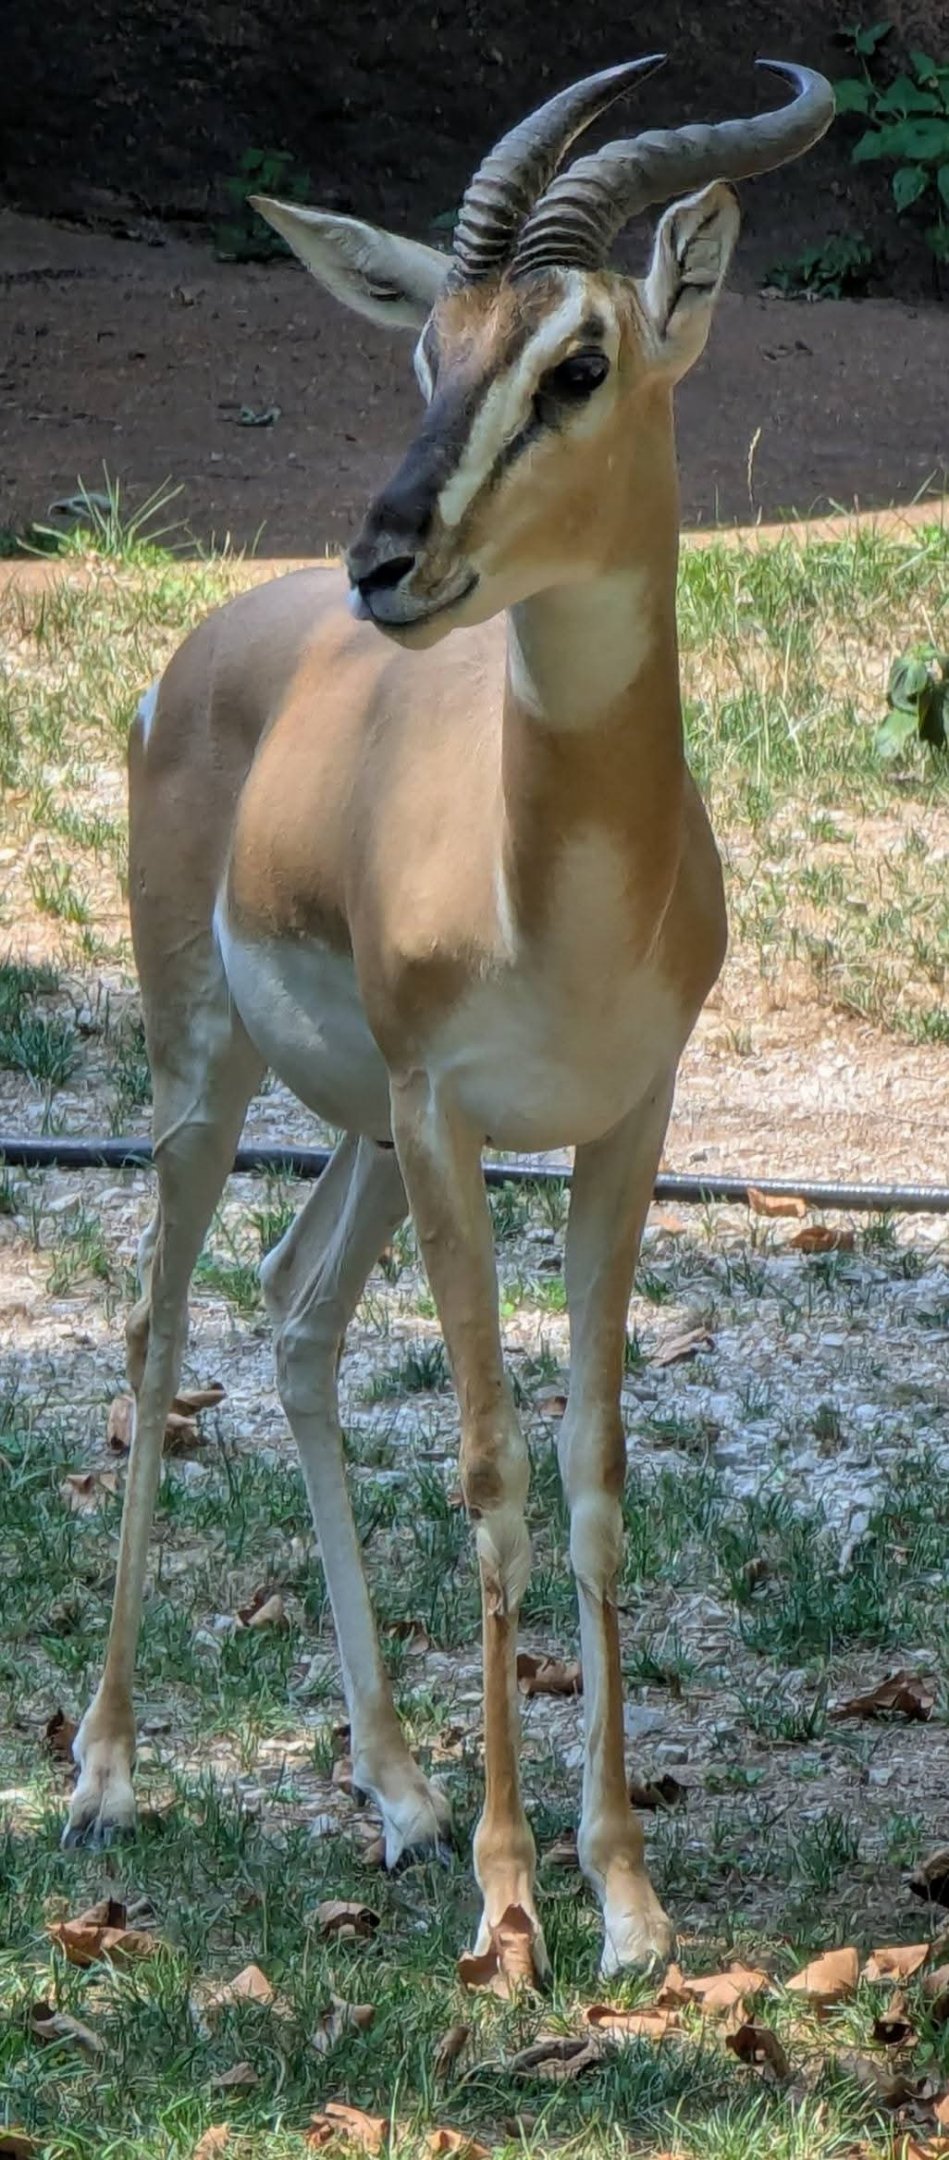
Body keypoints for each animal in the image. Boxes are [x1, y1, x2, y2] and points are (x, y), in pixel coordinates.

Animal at [64, 57, 833, 1984]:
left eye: (576, 362)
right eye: (429, 350)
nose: (385, 559)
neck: (550, 874)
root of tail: (210, 642)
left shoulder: (622, 1125)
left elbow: (590, 1465)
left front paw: (622, 1889)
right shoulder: (452, 1121)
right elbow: (486, 1470)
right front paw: (511, 1897)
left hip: (350, 1123)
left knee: (293, 1315)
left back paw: (393, 1792)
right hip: (212, 1073)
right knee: (160, 1327)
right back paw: (109, 1777)